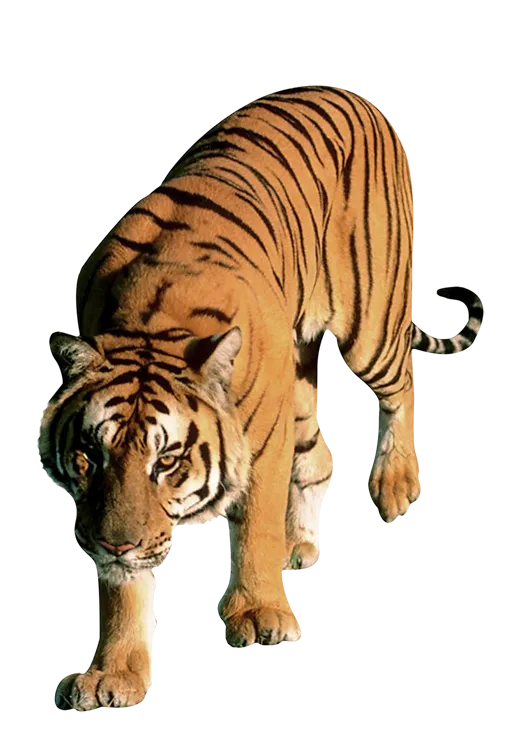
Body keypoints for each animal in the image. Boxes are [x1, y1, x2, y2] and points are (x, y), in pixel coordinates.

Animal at [39, 85, 483, 710]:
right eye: (89, 455)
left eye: (166, 460)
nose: (115, 545)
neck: (150, 323)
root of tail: (351, 93)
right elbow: (124, 588)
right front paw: (115, 675)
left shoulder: (264, 436)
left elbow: (256, 524)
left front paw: (258, 614)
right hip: (298, 382)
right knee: (320, 455)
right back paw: (300, 547)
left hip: (369, 329)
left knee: (403, 385)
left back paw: (396, 484)